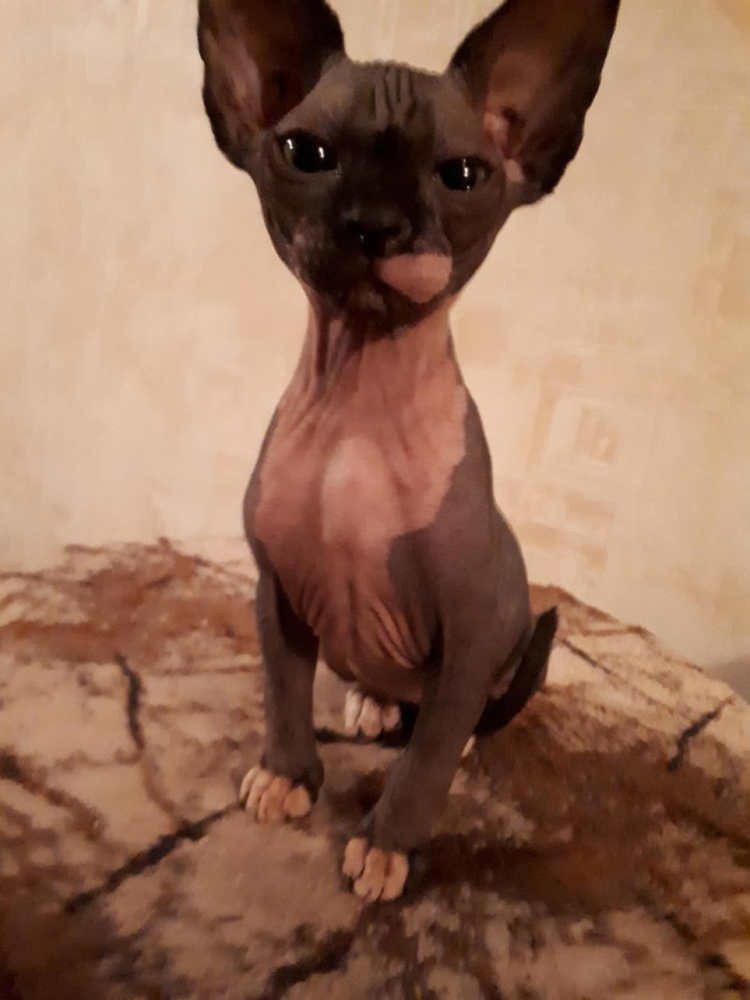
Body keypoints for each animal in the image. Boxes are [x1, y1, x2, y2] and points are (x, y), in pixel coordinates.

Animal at [198, 0, 619, 901]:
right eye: (306, 154)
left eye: (462, 175)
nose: (375, 226)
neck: (358, 405)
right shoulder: (277, 594)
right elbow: (283, 693)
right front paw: (287, 773)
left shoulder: (470, 633)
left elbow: (424, 764)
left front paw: (389, 844)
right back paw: (371, 700)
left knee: (457, 724)